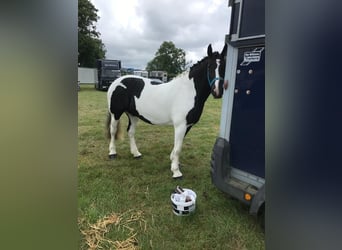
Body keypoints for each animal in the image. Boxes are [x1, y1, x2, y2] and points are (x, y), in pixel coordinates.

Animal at [105, 44, 226, 179]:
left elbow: (178, 146)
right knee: (113, 131)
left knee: (130, 132)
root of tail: (116, 81)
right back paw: (112, 153)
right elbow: (178, 148)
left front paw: (174, 161)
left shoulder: (187, 125)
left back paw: (136, 153)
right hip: (116, 113)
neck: (187, 91)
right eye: (210, 67)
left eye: (224, 66)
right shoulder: (180, 125)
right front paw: (176, 172)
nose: (217, 91)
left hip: (133, 114)